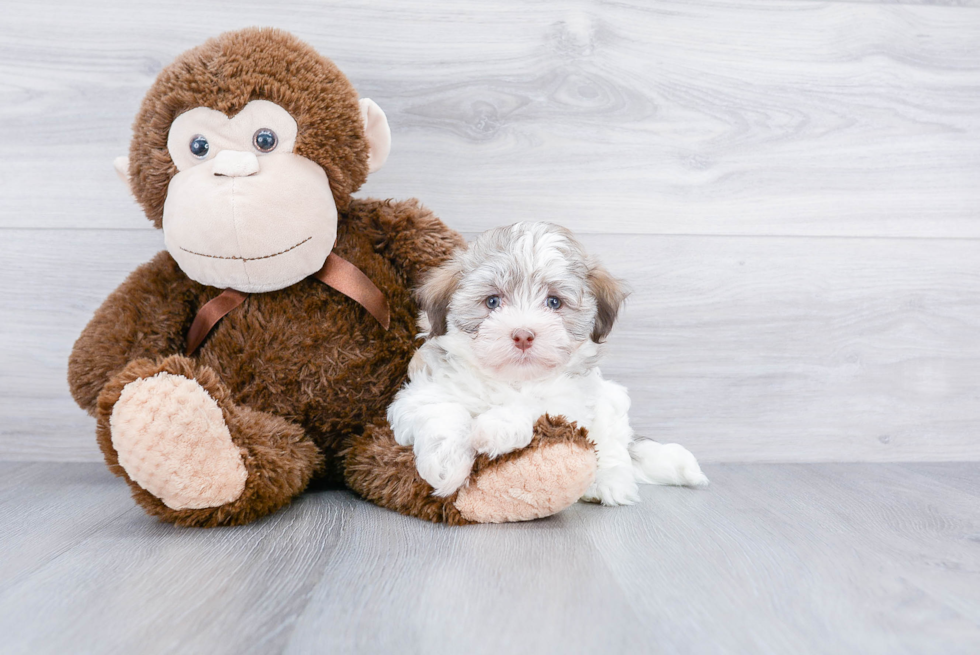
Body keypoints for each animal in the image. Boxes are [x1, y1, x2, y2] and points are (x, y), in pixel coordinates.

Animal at [386, 223, 708, 504]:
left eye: (554, 303)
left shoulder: (572, 402)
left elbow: (538, 404)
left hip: (611, 402)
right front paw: (446, 463)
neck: (512, 380)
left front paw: (496, 426)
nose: (523, 335)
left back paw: (608, 482)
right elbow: (441, 408)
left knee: (614, 446)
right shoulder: (417, 393)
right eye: (492, 302)